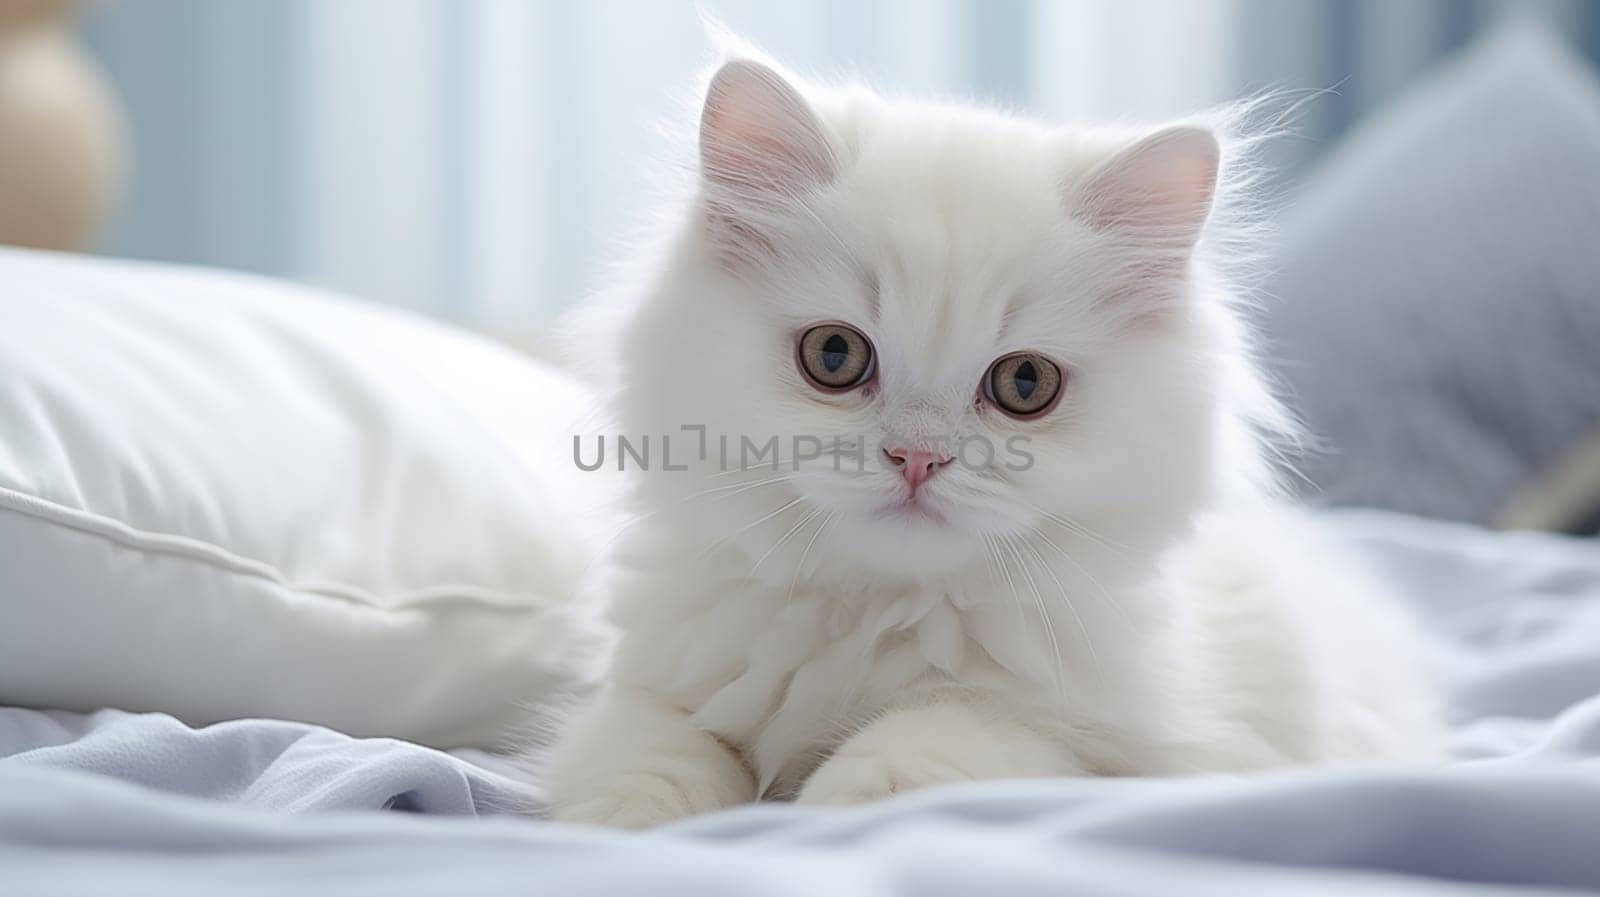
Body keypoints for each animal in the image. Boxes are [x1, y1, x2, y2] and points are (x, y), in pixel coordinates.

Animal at [550, 55, 1440, 825]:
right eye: (834, 357)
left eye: (1024, 385)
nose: (917, 457)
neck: (877, 613)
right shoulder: (642, 685)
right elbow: (646, 754)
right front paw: (637, 824)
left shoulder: (1113, 749)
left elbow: (936, 739)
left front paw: (834, 808)